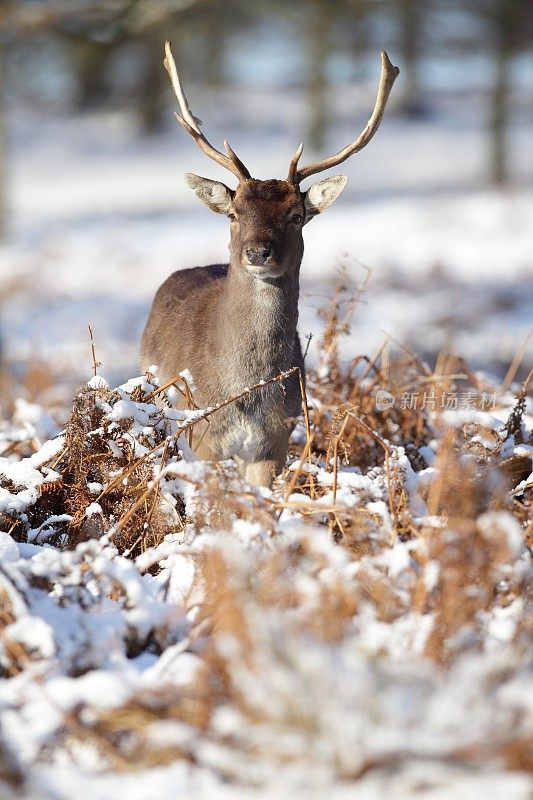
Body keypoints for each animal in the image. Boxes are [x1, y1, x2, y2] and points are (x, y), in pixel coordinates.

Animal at [139, 42, 396, 488]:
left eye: (296, 215)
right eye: (234, 213)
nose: (257, 252)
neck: (246, 390)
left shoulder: (276, 438)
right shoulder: (202, 434)